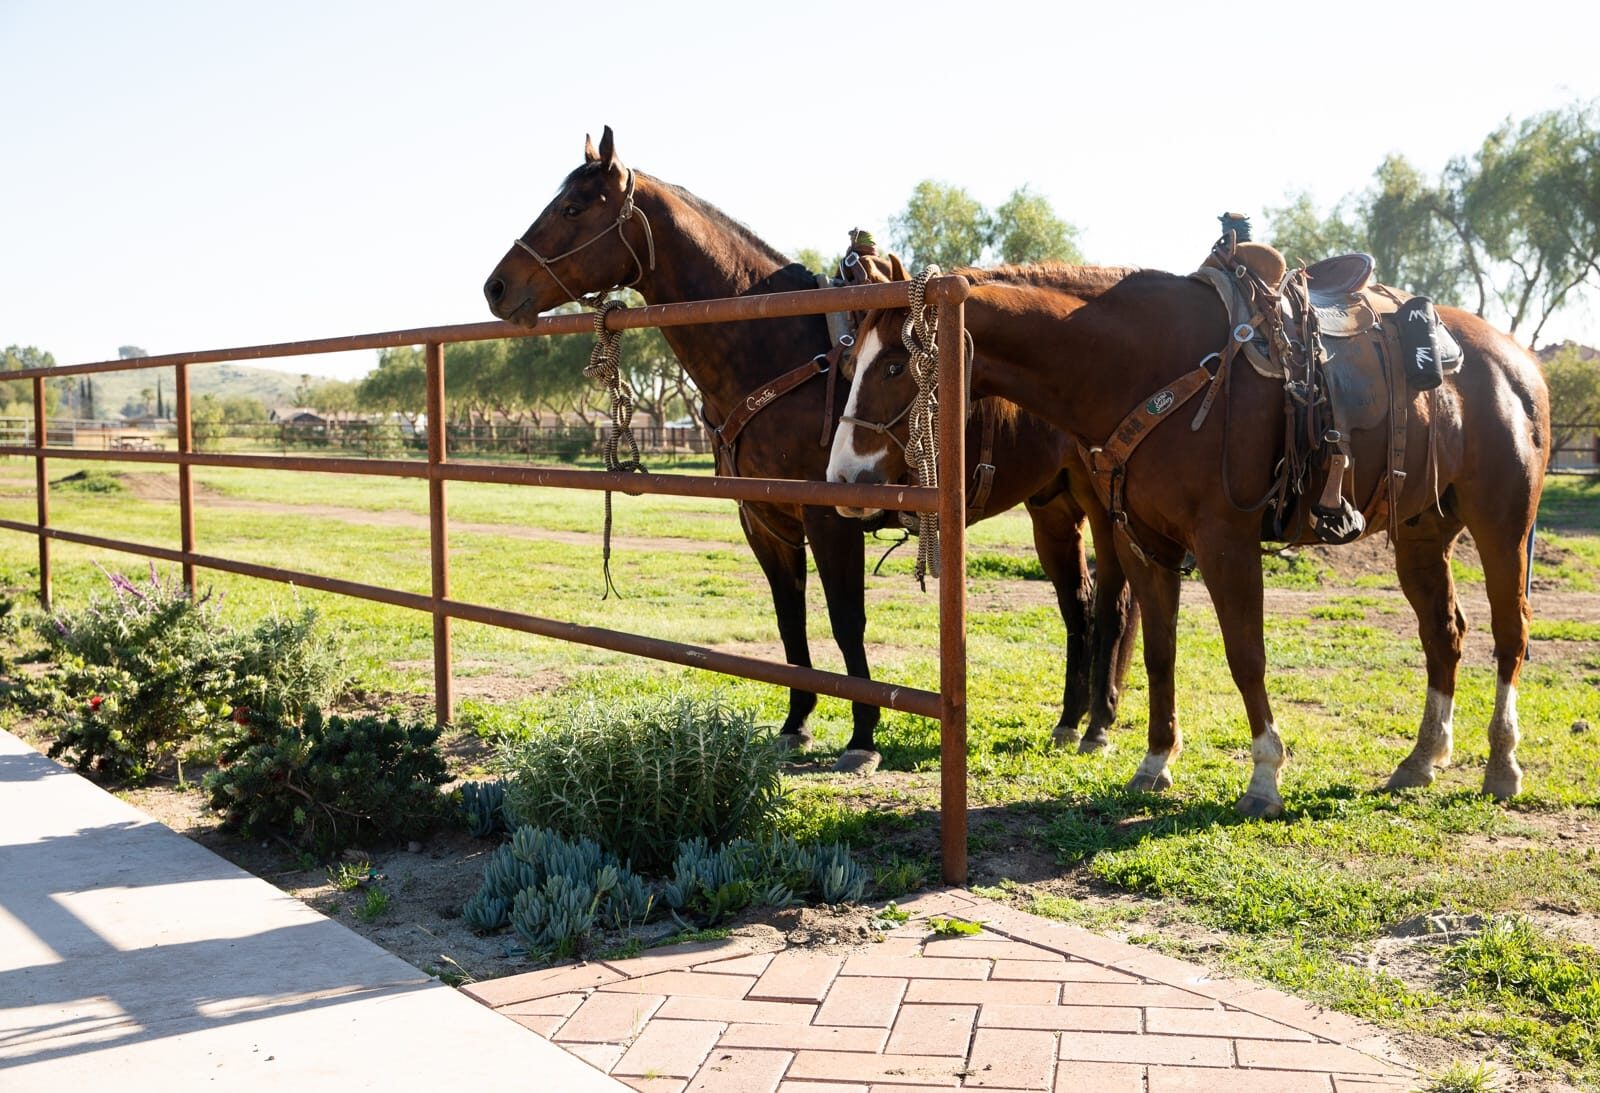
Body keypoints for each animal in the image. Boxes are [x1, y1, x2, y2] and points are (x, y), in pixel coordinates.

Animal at [482, 127, 1137, 767]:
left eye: (572, 207)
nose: (496, 287)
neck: (779, 350)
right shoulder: (764, 521)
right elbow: (790, 621)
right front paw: (796, 723)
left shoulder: (831, 518)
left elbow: (847, 621)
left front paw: (863, 736)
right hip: (1051, 506)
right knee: (1076, 604)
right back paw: (1069, 720)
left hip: (1103, 507)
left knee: (1113, 602)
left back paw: (1099, 725)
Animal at [829, 261, 1550, 815]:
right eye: (851, 360)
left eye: (895, 363)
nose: (841, 478)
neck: (1149, 368)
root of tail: (1518, 360)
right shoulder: (1147, 543)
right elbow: (1159, 653)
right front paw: (1153, 762)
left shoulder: (1225, 541)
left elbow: (1245, 656)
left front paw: (1264, 777)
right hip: (1422, 533)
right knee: (1443, 633)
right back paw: (1422, 758)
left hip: (1502, 523)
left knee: (1510, 631)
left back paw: (1502, 765)